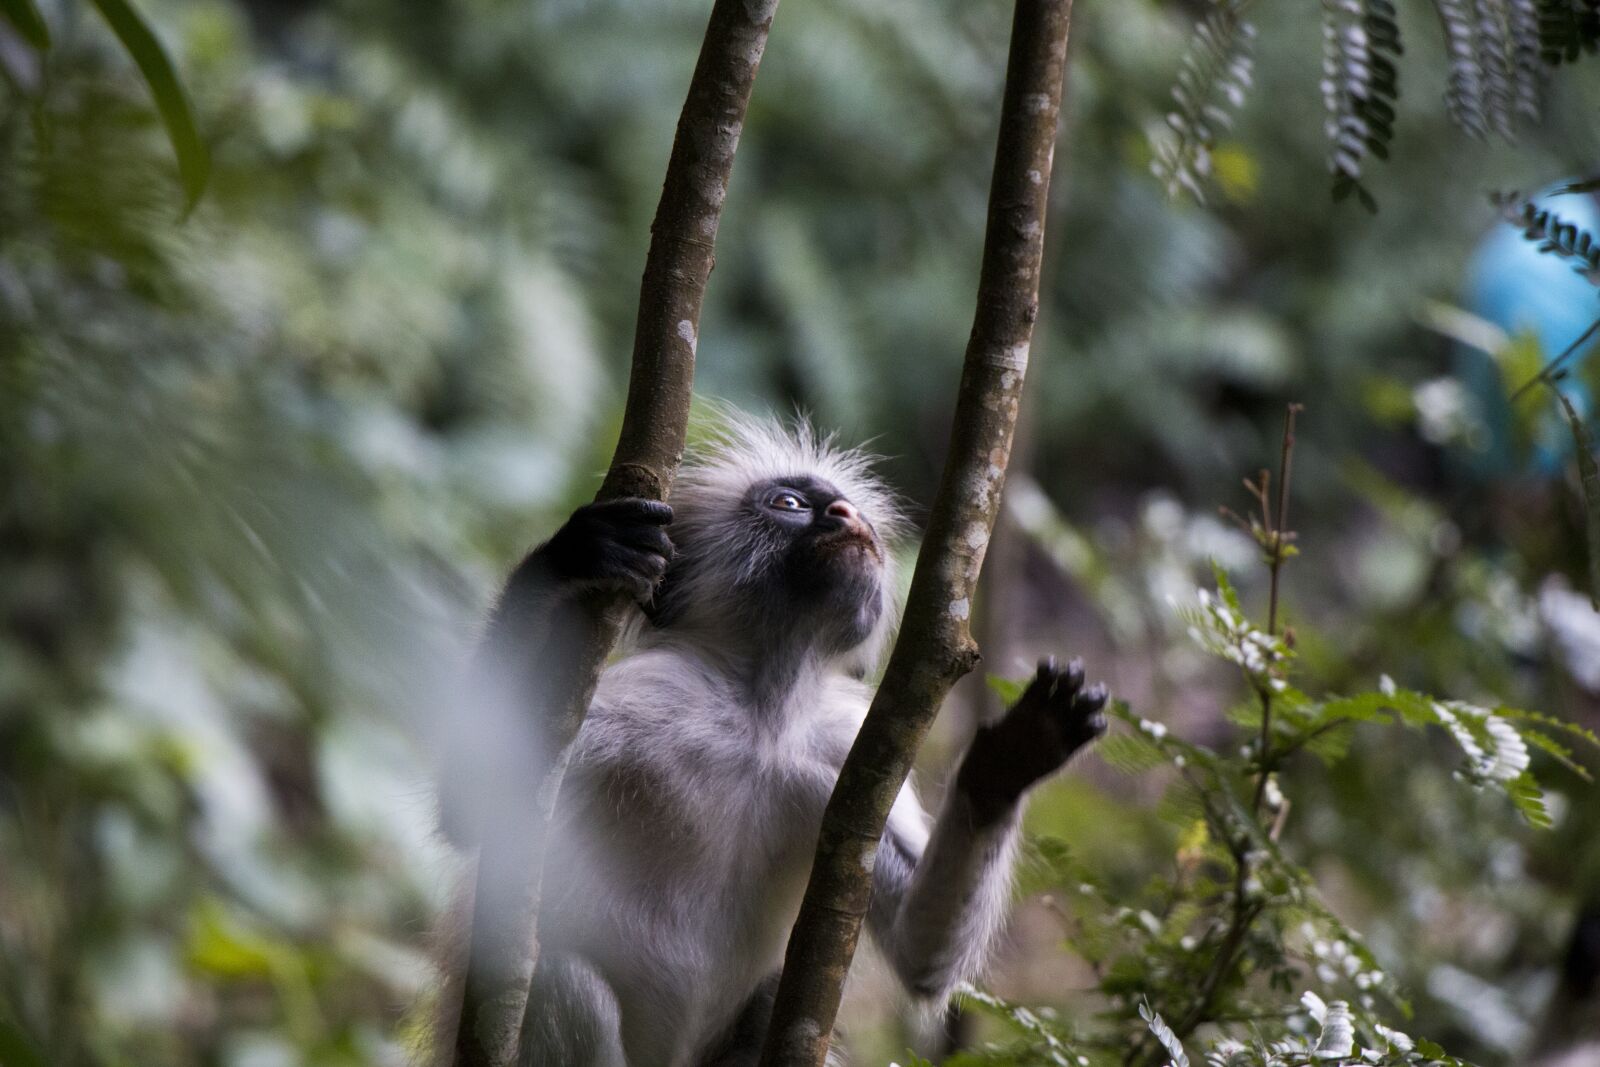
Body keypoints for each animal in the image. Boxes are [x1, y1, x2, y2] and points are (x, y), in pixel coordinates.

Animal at [441, 413, 1108, 1067]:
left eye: (849, 510)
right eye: (788, 503)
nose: (845, 514)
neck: (763, 719)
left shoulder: (844, 743)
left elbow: (920, 956)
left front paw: (1011, 759)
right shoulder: (648, 695)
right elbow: (473, 804)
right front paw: (571, 554)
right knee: (563, 985)